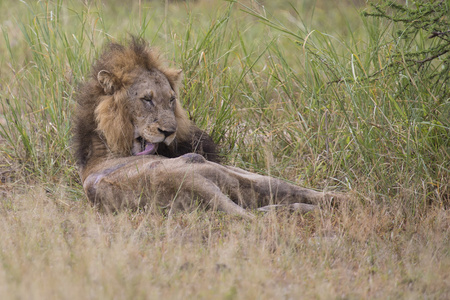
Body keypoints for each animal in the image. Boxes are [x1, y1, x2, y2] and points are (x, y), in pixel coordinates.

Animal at [74, 38, 340, 219]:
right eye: (146, 99)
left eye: (171, 99)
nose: (169, 132)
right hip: (214, 179)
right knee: (264, 210)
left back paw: (339, 200)